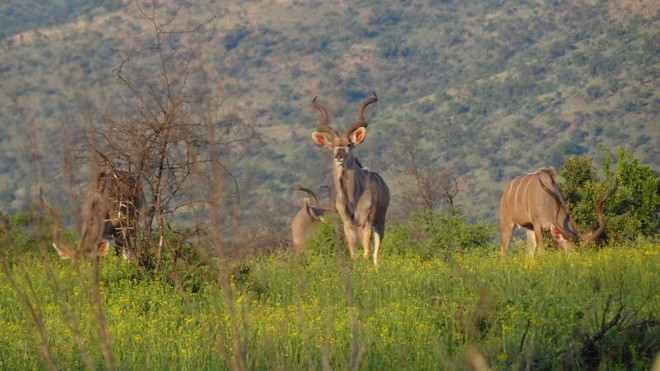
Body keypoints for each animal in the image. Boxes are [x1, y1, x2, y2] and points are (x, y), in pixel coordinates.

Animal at [310, 93, 390, 268]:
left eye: (348, 144)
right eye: (332, 145)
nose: (338, 156)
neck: (353, 197)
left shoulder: (368, 221)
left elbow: (367, 252)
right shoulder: (348, 223)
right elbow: (353, 253)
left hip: (380, 221)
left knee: (376, 252)